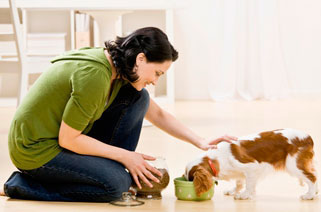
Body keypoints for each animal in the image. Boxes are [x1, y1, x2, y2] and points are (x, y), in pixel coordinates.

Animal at [184, 128, 316, 200]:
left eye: (191, 179)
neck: (216, 158)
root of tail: (308, 137)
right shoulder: (240, 171)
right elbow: (239, 182)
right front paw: (234, 191)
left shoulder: (252, 167)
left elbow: (249, 184)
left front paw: (244, 195)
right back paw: (315, 193)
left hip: (293, 165)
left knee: (312, 178)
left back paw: (309, 195)